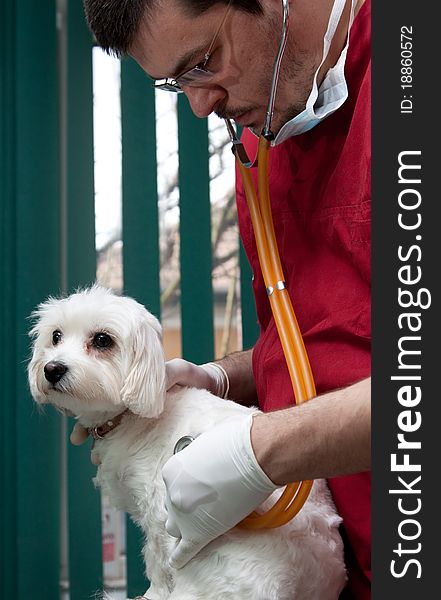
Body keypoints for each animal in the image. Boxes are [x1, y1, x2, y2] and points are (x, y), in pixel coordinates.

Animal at [28, 286, 348, 600]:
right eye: (56, 336)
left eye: (102, 340)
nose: (52, 368)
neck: (136, 416)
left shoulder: (159, 511)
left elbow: (156, 559)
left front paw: (153, 593)